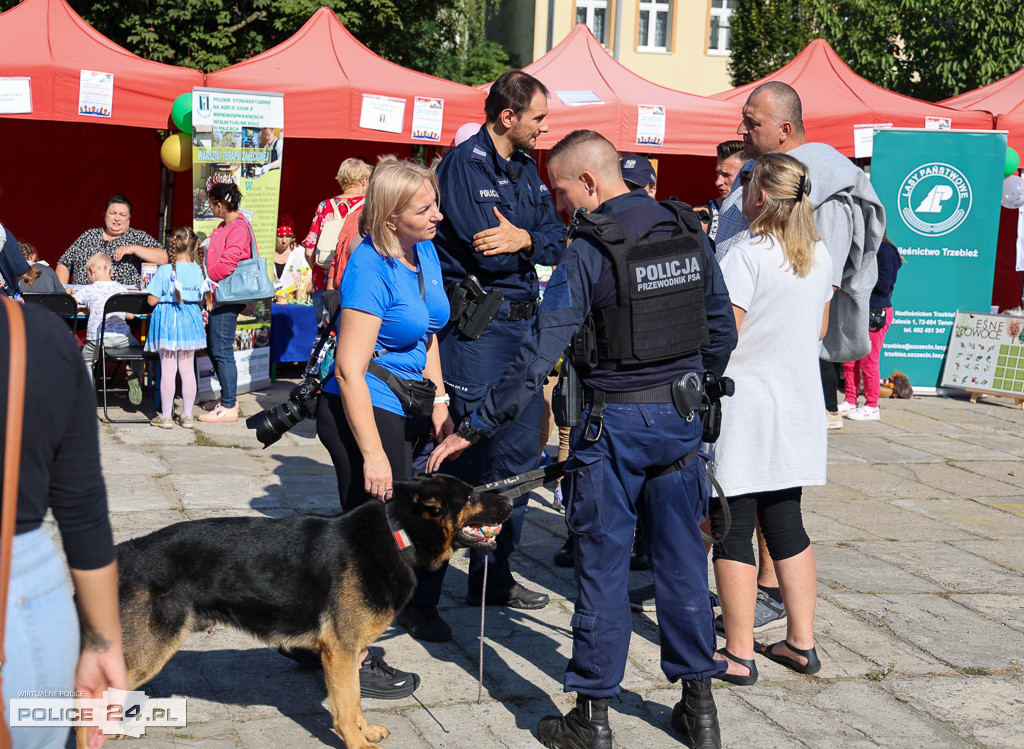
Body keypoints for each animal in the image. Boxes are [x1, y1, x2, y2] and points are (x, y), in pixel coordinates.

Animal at [87, 477, 507, 745]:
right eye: (471, 496)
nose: (508, 501)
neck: (397, 534)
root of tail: (125, 553)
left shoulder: (348, 653)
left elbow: (355, 699)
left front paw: (366, 730)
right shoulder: (340, 652)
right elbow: (345, 705)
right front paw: (358, 743)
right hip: (147, 652)